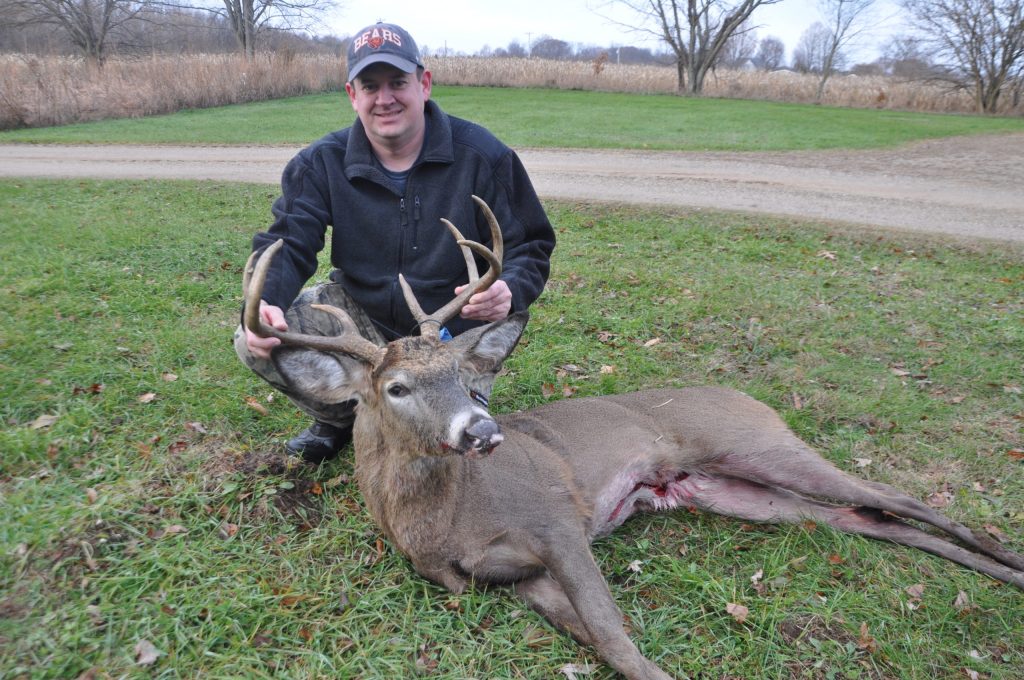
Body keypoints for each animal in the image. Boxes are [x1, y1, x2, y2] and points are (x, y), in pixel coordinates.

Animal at [242, 196, 1023, 680]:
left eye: (464, 374)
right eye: (398, 388)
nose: (484, 428)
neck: (440, 524)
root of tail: (752, 398)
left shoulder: (557, 521)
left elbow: (618, 641)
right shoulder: (512, 580)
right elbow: (602, 644)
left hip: (760, 446)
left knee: (901, 499)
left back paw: (1009, 565)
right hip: (731, 490)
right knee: (866, 517)